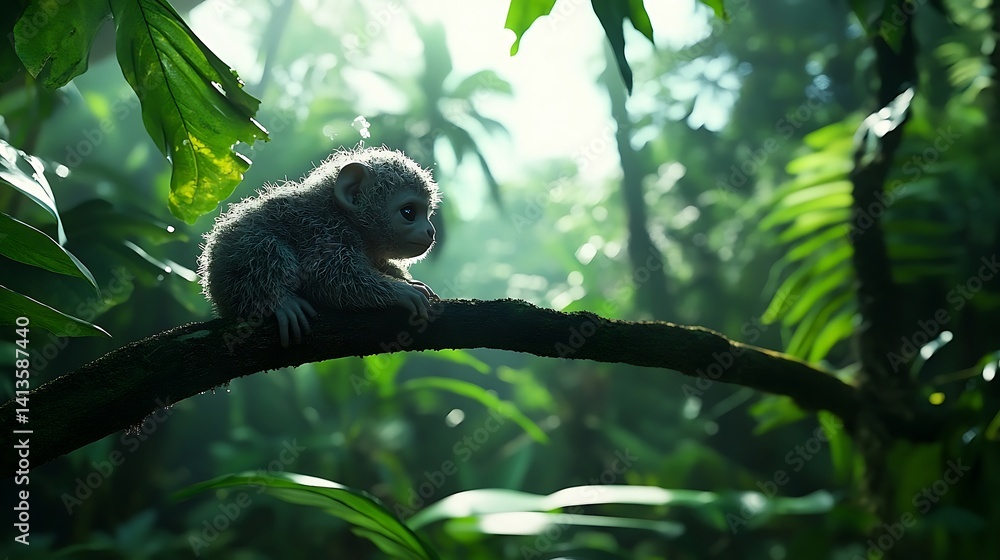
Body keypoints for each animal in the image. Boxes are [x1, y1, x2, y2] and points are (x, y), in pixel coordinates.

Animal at [197, 146, 441, 347]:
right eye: (409, 212)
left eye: (427, 214)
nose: (431, 231)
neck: (343, 216)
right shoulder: (323, 231)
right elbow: (327, 278)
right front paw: (401, 291)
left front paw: (404, 279)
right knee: (263, 244)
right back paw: (279, 303)